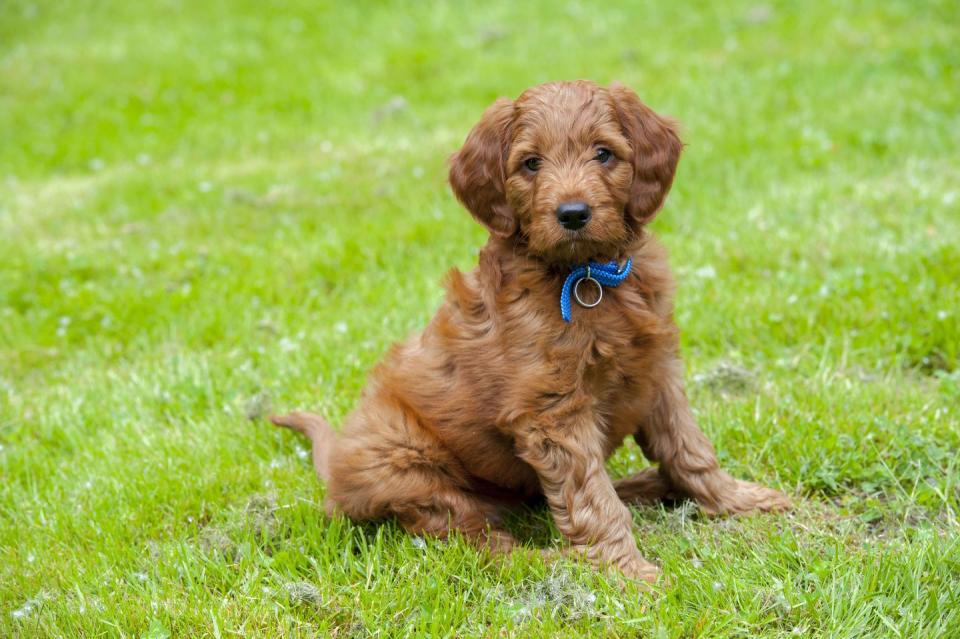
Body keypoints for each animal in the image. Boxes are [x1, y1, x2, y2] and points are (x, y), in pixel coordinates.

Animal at [274, 81, 792, 584]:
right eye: (530, 163)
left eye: (603, 153)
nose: (573, 213)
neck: (588, 278)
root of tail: (334, 466)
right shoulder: (552, 411)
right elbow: (591, 499)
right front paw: (625, 571)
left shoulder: (658, 370)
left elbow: (690, 448)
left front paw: (738, 500)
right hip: (407, 467)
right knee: (478, 541)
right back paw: (563, 562)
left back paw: (649, 485)